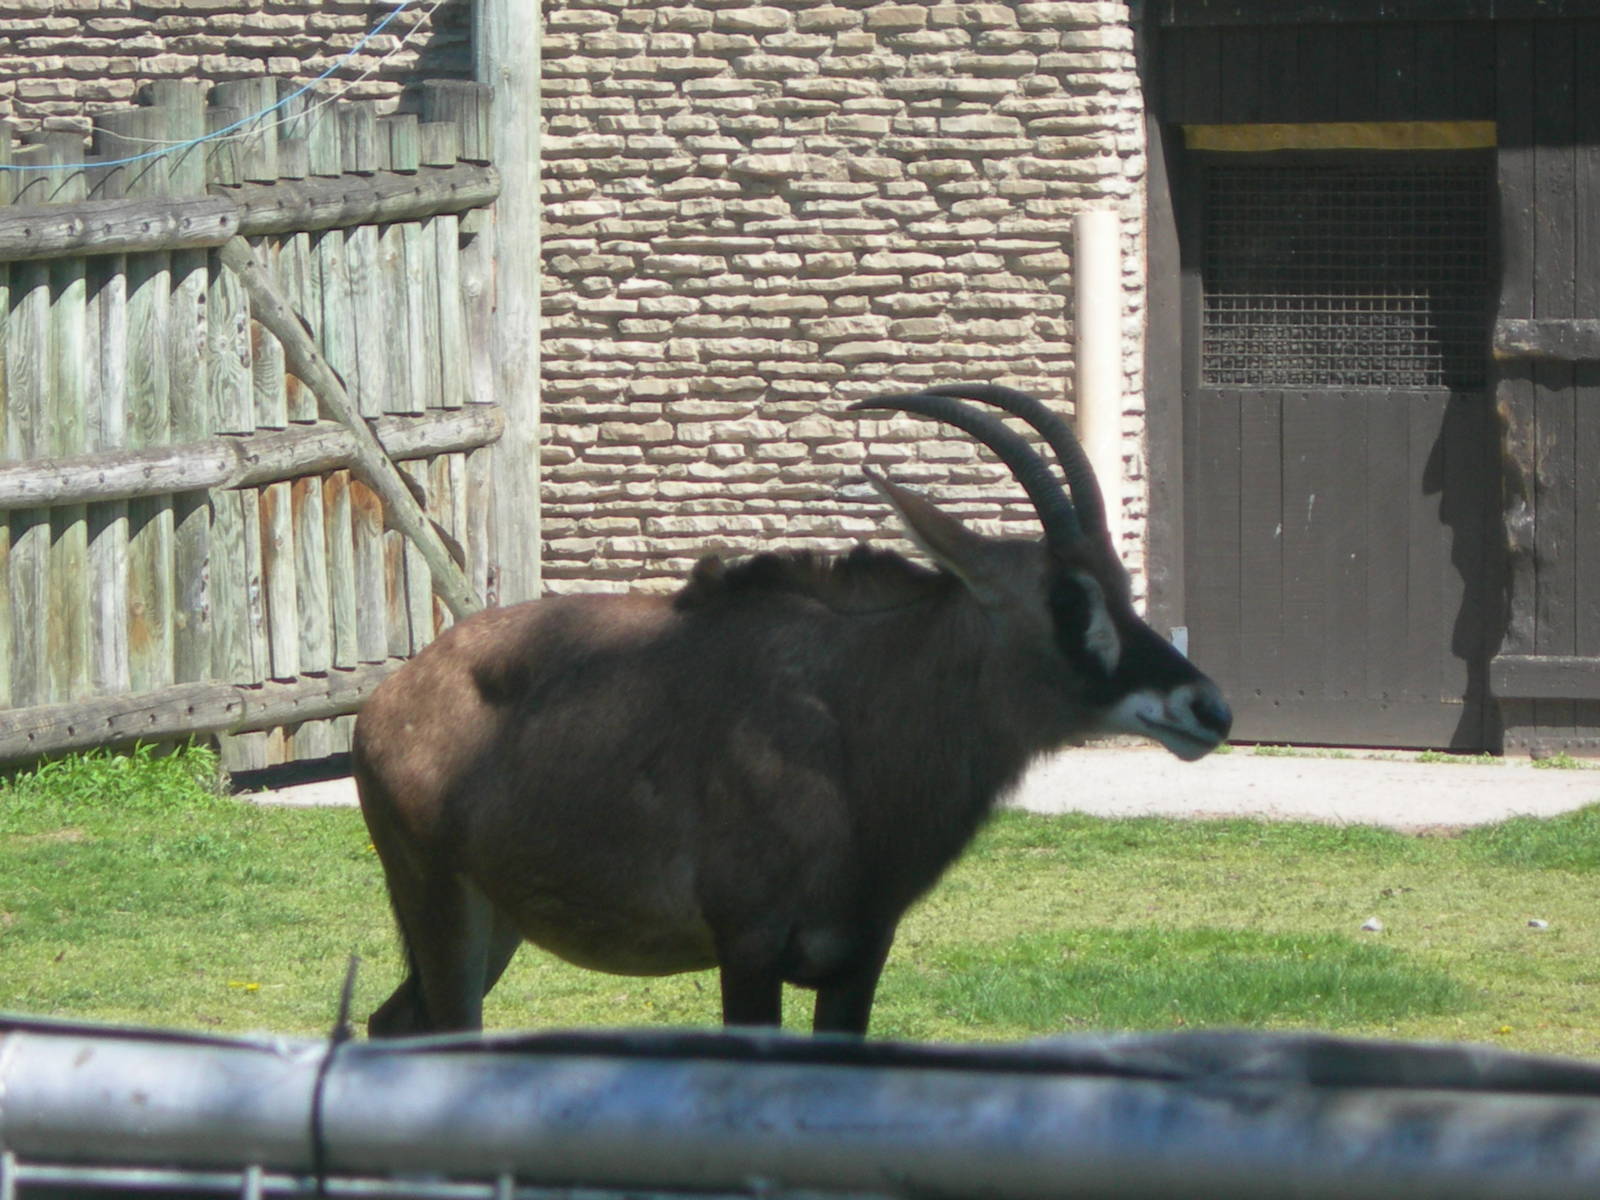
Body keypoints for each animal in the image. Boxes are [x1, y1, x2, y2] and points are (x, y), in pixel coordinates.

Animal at [353, 383, 1231, 1037]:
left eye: (1120, 583)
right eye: (1066, 597)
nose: (1210, 708)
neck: (850, 717)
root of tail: (387, 698)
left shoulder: (858, 957)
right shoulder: (749, 949)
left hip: (494, 923)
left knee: (393, 1024)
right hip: (442, 909)